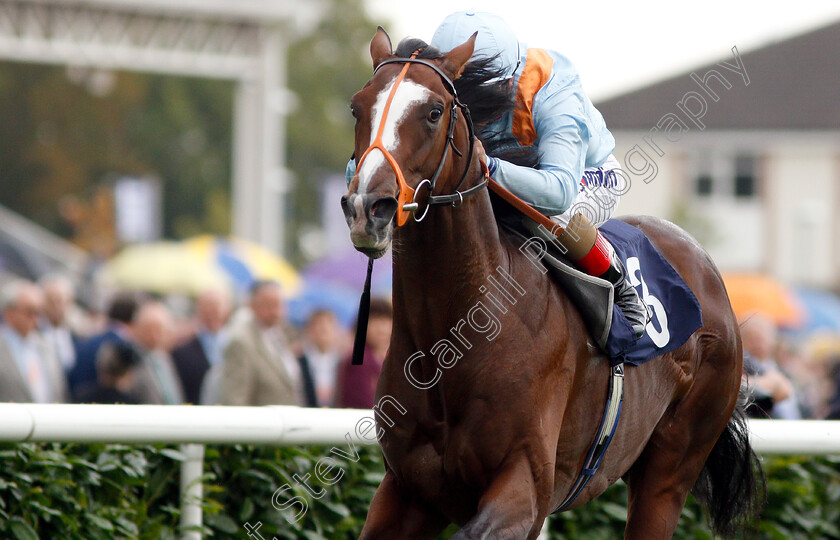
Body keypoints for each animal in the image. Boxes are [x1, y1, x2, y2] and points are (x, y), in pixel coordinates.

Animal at [340, 27, 760, 536]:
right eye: (357, 107)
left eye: (434, 111)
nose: (369, 208)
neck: (457, 337)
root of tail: (708, 271)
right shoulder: (406, 489)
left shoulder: (526, 486)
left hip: (671, 469)